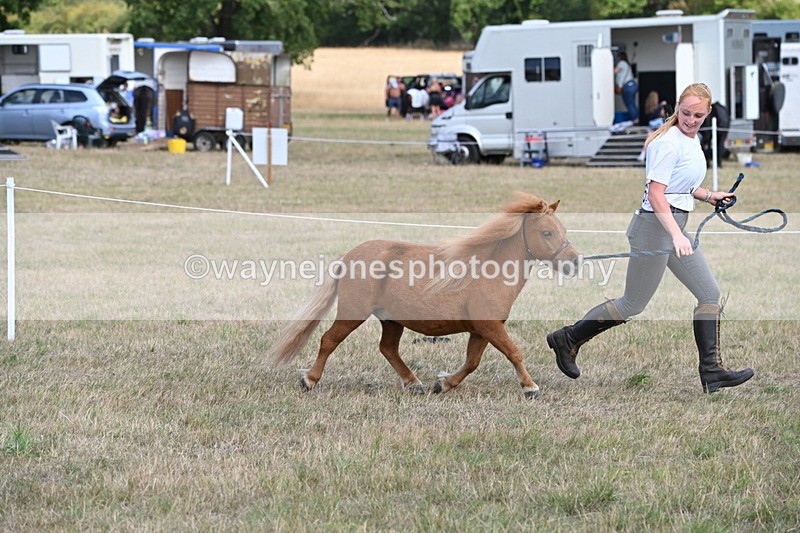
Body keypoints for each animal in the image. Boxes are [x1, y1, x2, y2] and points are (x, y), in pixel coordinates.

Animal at [269, 192, 580, 399]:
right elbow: (514, 352)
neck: (489, 270)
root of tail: (349, 256)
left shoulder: (481, 330)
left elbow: (472, 362)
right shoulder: (489, 327)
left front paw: (443, 383)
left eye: (564, 229)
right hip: (353, 313)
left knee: (388, 349)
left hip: (391, 320)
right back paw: (309, 380)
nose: (574, 262)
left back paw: (414, 383)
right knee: (329, 340)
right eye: (547, 232)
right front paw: (530, 387)